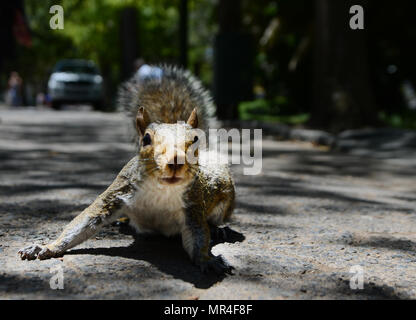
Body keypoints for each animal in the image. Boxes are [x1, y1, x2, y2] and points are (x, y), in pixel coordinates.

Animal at [18, 65, 240, 276]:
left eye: (195, 140)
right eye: (146, 139)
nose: (175, 161)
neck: (160, 189)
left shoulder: (193, 208)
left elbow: (199, 237)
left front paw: (208, 260)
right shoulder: (116, 194)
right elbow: (81, 223)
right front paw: (46, 247)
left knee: (216, 220)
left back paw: (219, 228)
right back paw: (123, 222)